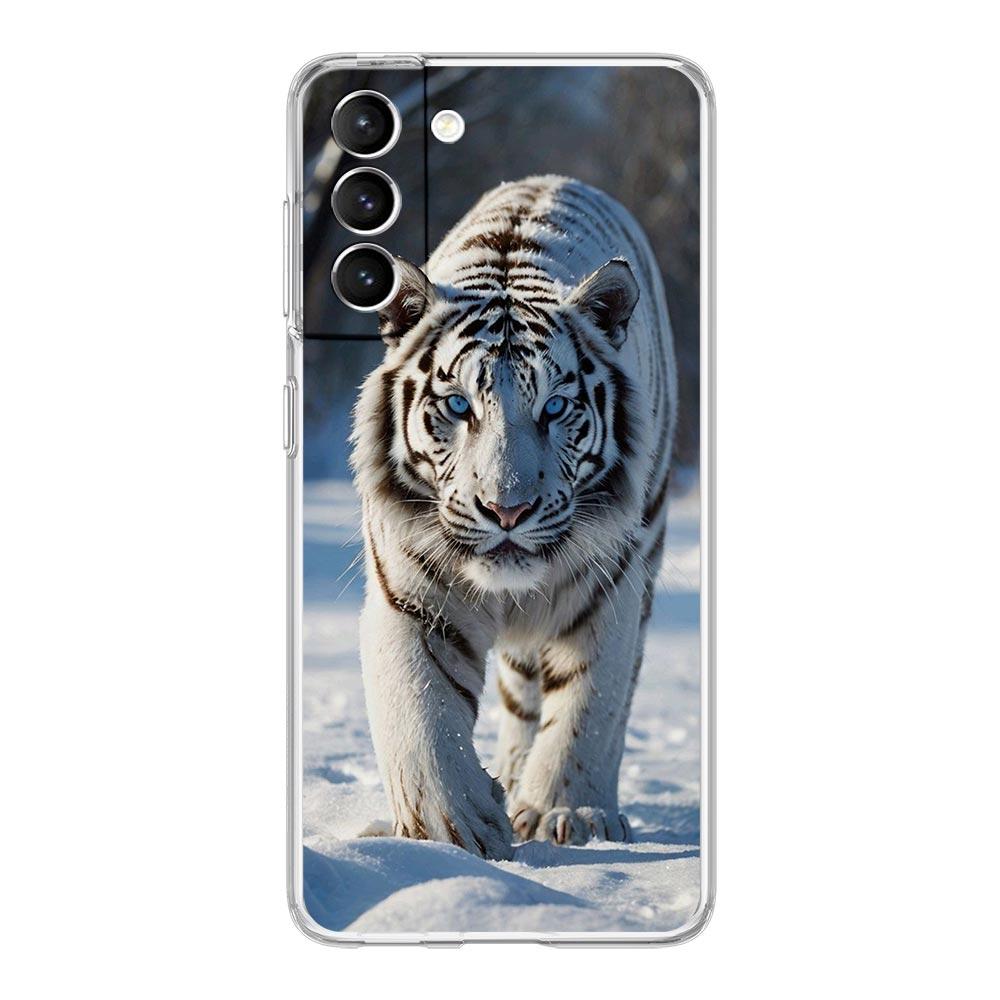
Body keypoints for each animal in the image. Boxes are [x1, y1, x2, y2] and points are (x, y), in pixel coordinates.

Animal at [351, 175, 677, 860]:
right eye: (456, 405)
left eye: (554, 408)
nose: (508, 509)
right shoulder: (411, 596)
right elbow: (421, 712)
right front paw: (453, 830)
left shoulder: (609, 590)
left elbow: (588, 705)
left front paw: (567, 815)